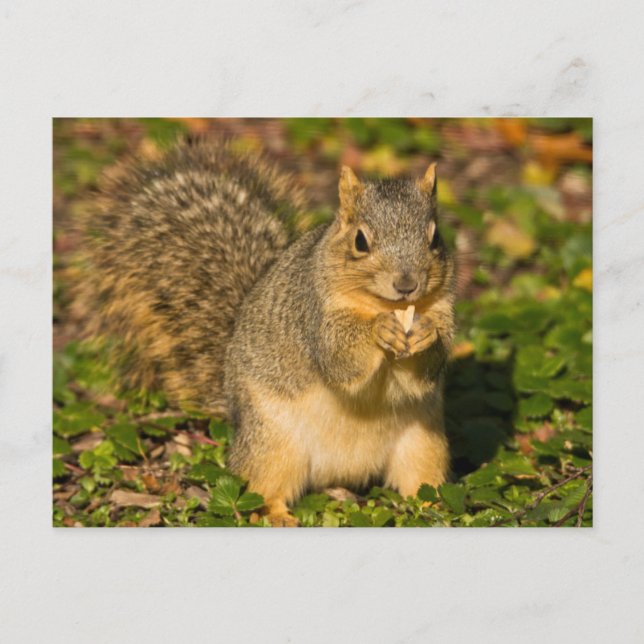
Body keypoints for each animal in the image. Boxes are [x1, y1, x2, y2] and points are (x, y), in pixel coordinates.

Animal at [82, 139, 456, 526]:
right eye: (360, 241)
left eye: (435, 238)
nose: (406, 284)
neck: (384, 305)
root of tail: (342, 473)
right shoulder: (312, 314)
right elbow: (339, 358)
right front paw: (378, 330)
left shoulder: (443, 308)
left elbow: (425, 371)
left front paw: (426, 336)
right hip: (272, 443)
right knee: (261, 486)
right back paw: (275, 514)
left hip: (424, 443)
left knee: (420, 482)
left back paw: (434, 507)